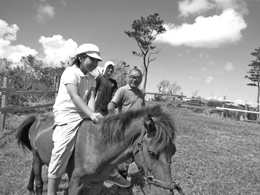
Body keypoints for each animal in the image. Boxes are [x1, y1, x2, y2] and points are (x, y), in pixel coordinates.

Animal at [16, 105, 185, 195]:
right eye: (151, 152)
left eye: (173, 151)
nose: (167, 192)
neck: (96, 147)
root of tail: (38, 117)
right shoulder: (75, 183)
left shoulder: (97, 183)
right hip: (38, 156)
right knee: (40, 181)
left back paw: (29, 188)